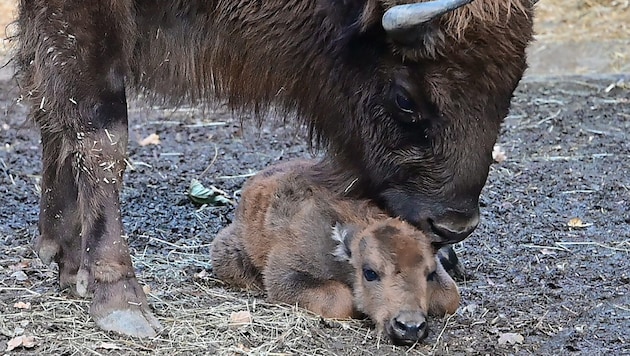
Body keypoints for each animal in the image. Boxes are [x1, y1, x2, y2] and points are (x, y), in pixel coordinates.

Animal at [210, 160, 462, 344]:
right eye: (370, 273)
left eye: (429, 274)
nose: (410, 327)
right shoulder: (285, 273)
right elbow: (339, 300)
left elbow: (450, 297)